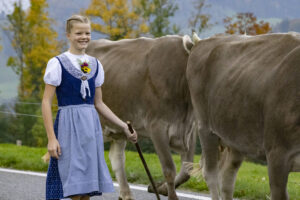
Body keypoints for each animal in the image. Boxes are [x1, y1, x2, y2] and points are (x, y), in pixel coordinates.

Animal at [85, 36, 196, 200]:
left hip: (119, 130)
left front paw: (160, 188)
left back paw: (126, 194)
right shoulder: (157, 127)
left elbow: (187, 171)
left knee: (117, 158)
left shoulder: (189, 130)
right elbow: (169, 169)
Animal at [188, 32, 300, 199]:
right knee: (211, 174)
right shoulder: (277, 154)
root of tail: (201, 42)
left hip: (236, 136)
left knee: (227, 177)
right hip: (205, 128)